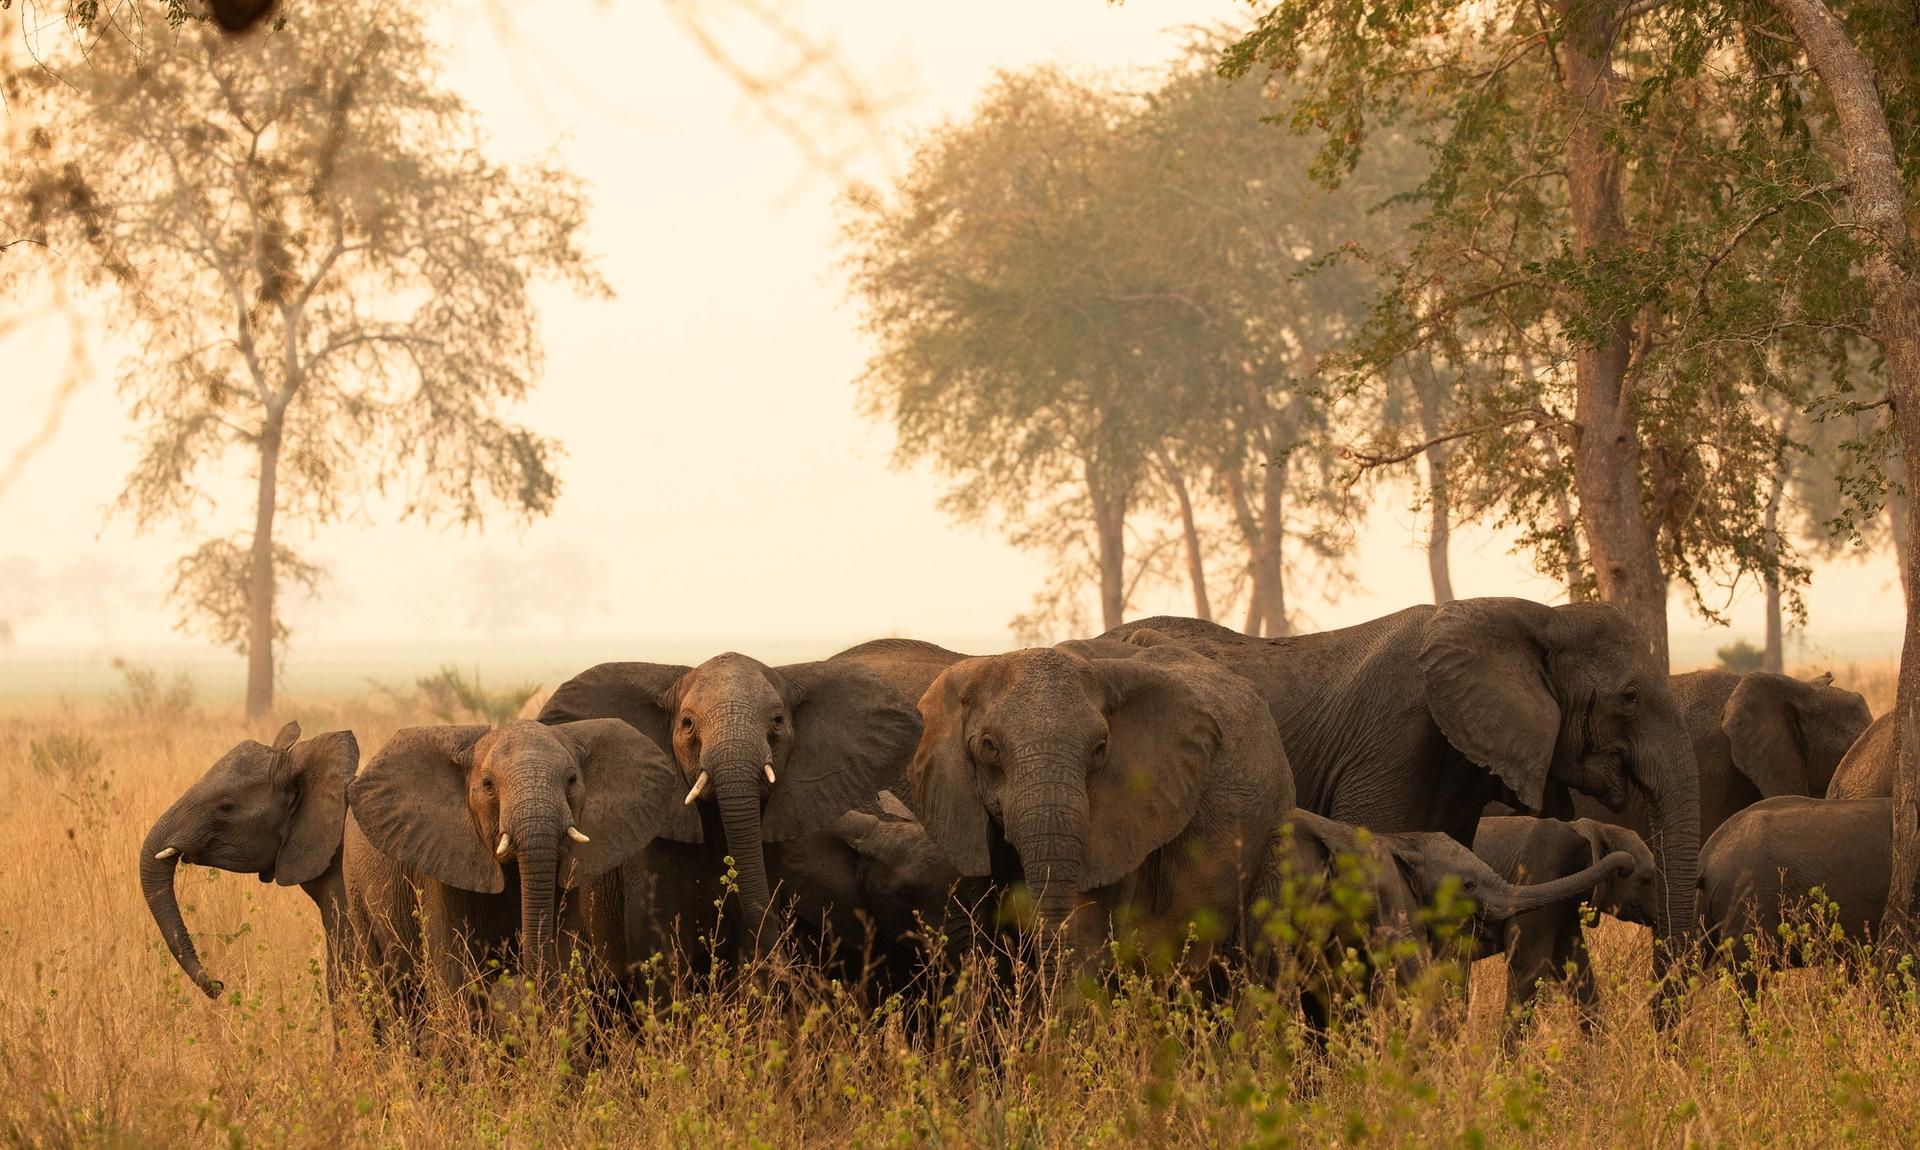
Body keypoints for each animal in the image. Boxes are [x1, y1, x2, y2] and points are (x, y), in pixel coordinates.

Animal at [343, 718, 686, 1009]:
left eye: (572, 780)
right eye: (488, 784)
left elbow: (559, 959)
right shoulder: (440, 870)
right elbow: (455, 977)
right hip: (356, 890)